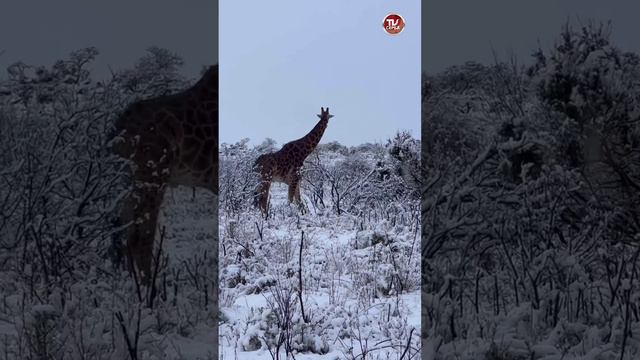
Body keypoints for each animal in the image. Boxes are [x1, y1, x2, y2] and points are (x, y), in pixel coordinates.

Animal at [111, 64, 219, 278]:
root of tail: (117, 132)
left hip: (131, 177)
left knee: (125, 225)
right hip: (153, 173)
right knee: (140, 235)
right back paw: (148, 285)